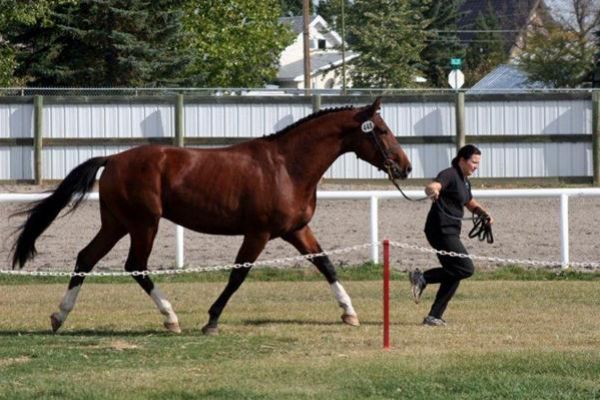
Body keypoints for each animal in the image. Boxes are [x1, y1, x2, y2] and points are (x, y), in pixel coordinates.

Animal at [10, 97, 412, 334]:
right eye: (381, 130)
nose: (405, 167)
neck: (287, 167)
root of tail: (113, 158)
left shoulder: (297, 229)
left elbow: (326, 264)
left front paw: (349, 312)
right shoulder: (258, 234)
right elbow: (237, 276)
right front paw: (212, 320)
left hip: (117, 223)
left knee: (86, 258)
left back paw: (59, 317)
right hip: (143, 224)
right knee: (135, 266)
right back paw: (170, 317)